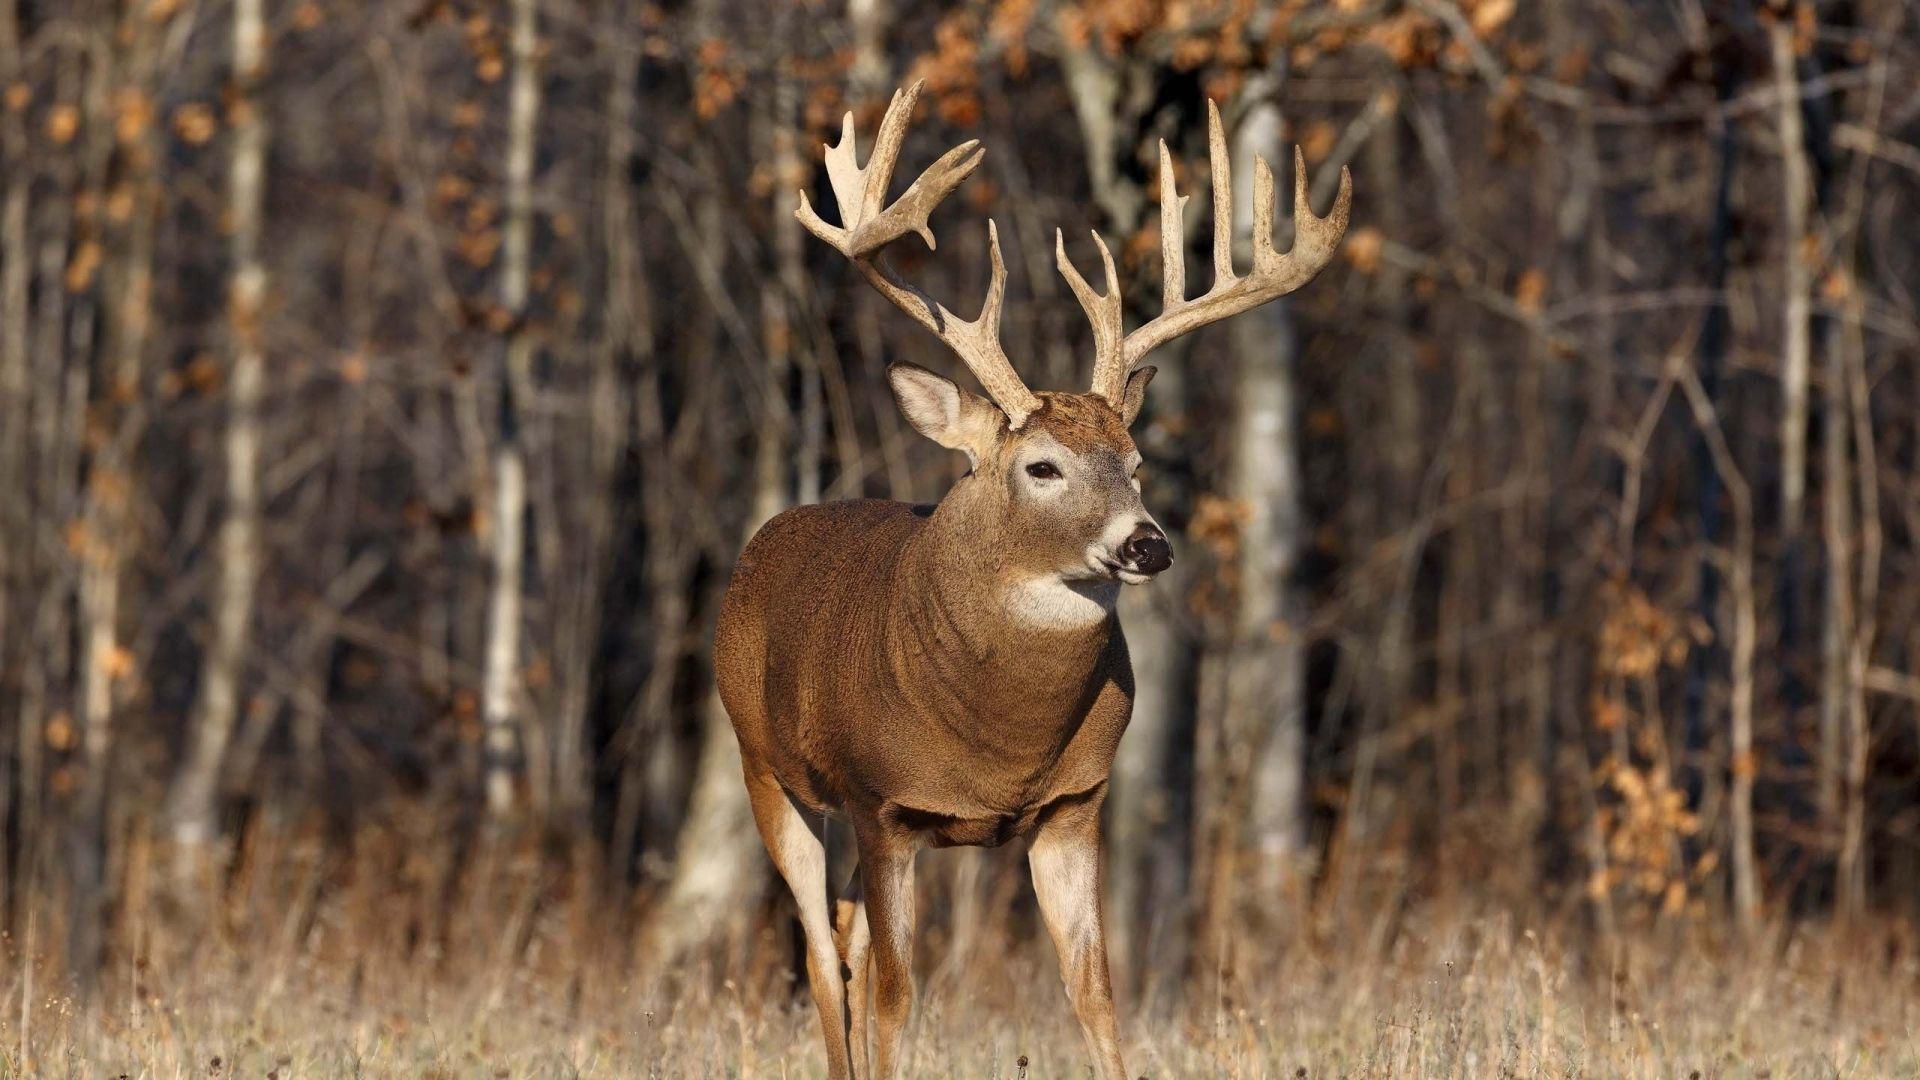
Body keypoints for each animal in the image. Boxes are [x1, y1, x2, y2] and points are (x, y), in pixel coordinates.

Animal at [713, 80, 1350, 1080]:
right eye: (1041, 467)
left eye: (1136, 463)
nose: (1148, 545)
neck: (1000, 741)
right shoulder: (883, 803)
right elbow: (896, 997)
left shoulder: (1074, 806)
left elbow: (1094, 993)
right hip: (764, 765)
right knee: (820, 952)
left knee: (844, 938)